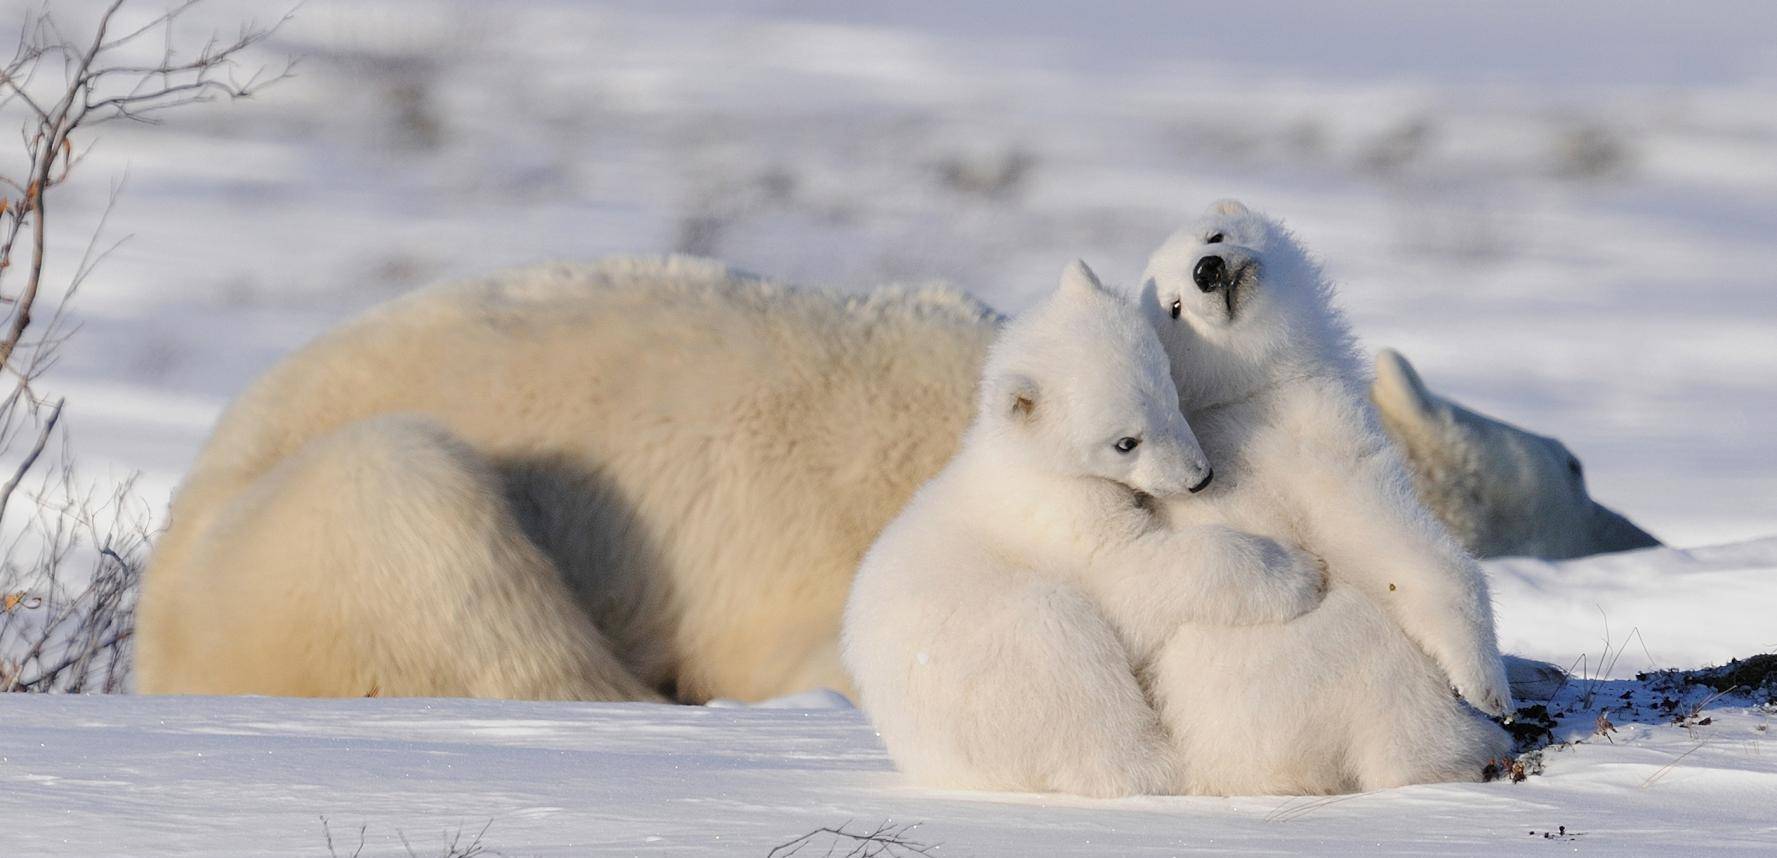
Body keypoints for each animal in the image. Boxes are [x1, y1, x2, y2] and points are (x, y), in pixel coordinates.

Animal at [838, 261, 1329, 799]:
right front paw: (1301, 574)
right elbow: (1131, 576)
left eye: (1169, 390)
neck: (1032, 463)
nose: (1200, 477)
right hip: (1008, 667)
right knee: (1077, 679)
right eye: (1125, 442)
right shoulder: (1062, 520)